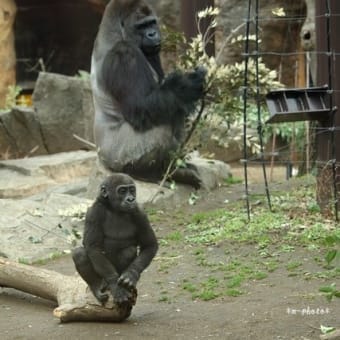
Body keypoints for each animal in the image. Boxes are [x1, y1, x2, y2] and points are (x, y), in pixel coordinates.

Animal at [73, 174, 158, 304]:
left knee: (129, 251)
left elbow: (150, 245)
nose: (130, 199)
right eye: (122, 191)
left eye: (132, 190)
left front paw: (131, 275)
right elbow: (93, 248)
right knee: (79, 254)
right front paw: (115, 285)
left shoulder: (139, 213)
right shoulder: (94, 212)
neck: (114, 208)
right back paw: (97, 286)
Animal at [90, 0, 206, 186]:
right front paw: (185, 86)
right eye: (141, 26)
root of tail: (102, 159)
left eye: (152, 23)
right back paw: (150, 173)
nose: (153, 34)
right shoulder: (124, 53)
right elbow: (141, 107)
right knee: (161, 127)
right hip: (119, 159)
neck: (114, 33)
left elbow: (168, 98)